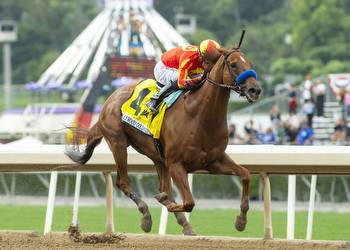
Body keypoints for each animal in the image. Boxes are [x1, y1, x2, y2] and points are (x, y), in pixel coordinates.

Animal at [66, 44, 262, 234]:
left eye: (250, 63)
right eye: (234, 64)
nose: (256, 90)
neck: (199, 115)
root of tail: (110, 100)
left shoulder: (213, 161)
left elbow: (245, 174)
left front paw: (241, 220)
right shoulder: (176, 164)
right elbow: (189, 202)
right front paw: (166, 203)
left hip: (157, 156)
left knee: (161, 186)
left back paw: (183, 222)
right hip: (118, 143)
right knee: (124, 182)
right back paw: (147, 215)